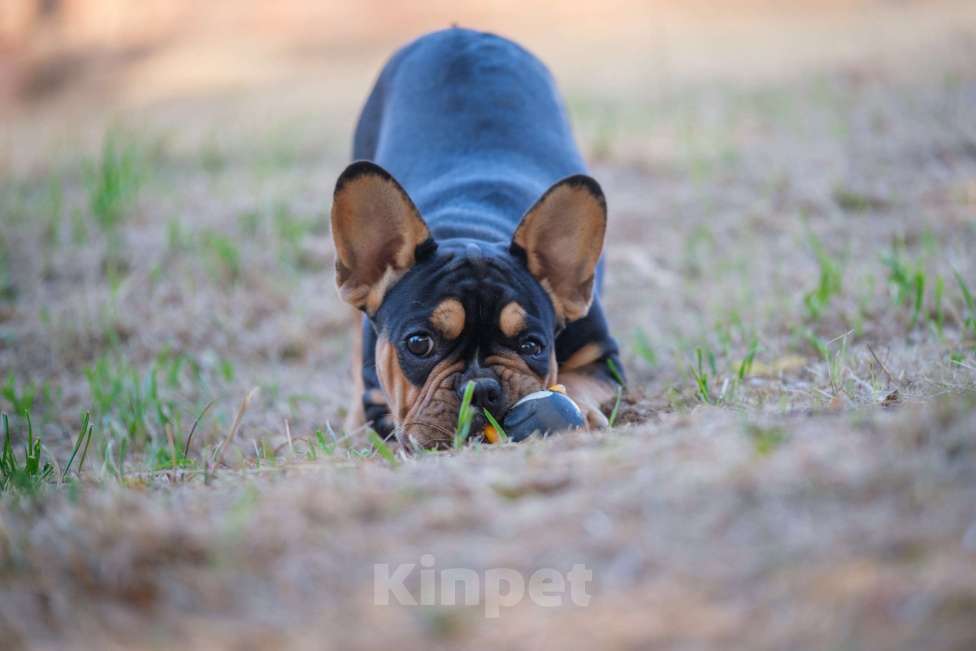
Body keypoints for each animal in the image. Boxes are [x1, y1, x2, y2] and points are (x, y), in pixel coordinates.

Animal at [332, 29, 620, 448]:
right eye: (419, 343)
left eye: (532, 345)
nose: (481, 388)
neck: (472, 228)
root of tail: (458, 32)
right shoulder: (378, 394)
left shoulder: (601, 356)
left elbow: (580, 379)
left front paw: (579, 410)